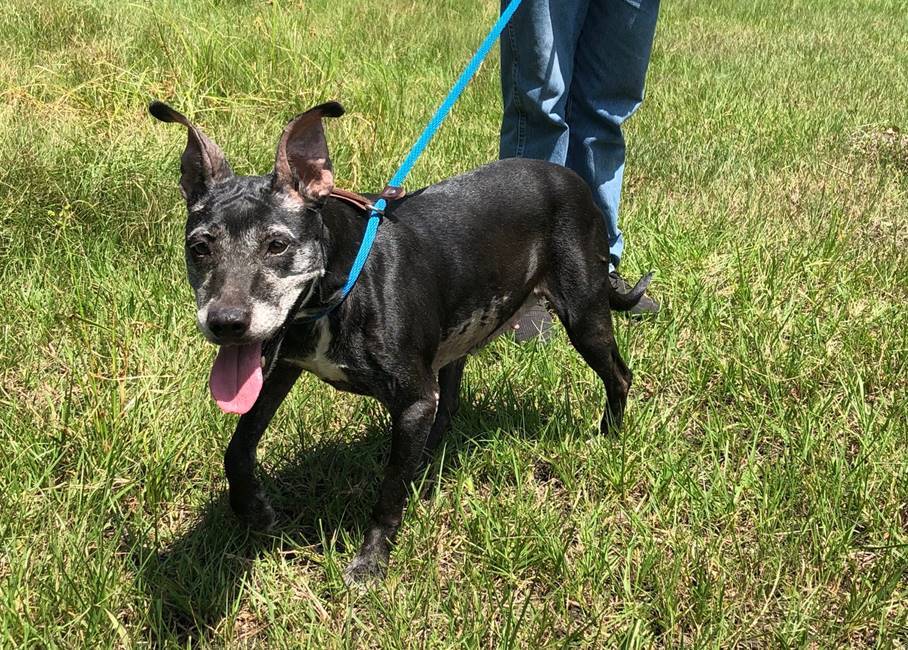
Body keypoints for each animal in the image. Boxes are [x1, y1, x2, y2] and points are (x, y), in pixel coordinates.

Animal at [149, 100, 648, 584]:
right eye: (199, 247)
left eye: (277, 245)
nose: (226, 323)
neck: (341, 285)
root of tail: (570, 177)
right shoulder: (281, 368)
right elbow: (237, 446)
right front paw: (253, 511)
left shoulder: (411, 400)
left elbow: (388, 493)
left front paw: (371, 562)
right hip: (456, 339)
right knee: (448, 407)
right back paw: (426, 471)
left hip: (584, 317)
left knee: (619, 376)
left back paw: (608, 437)